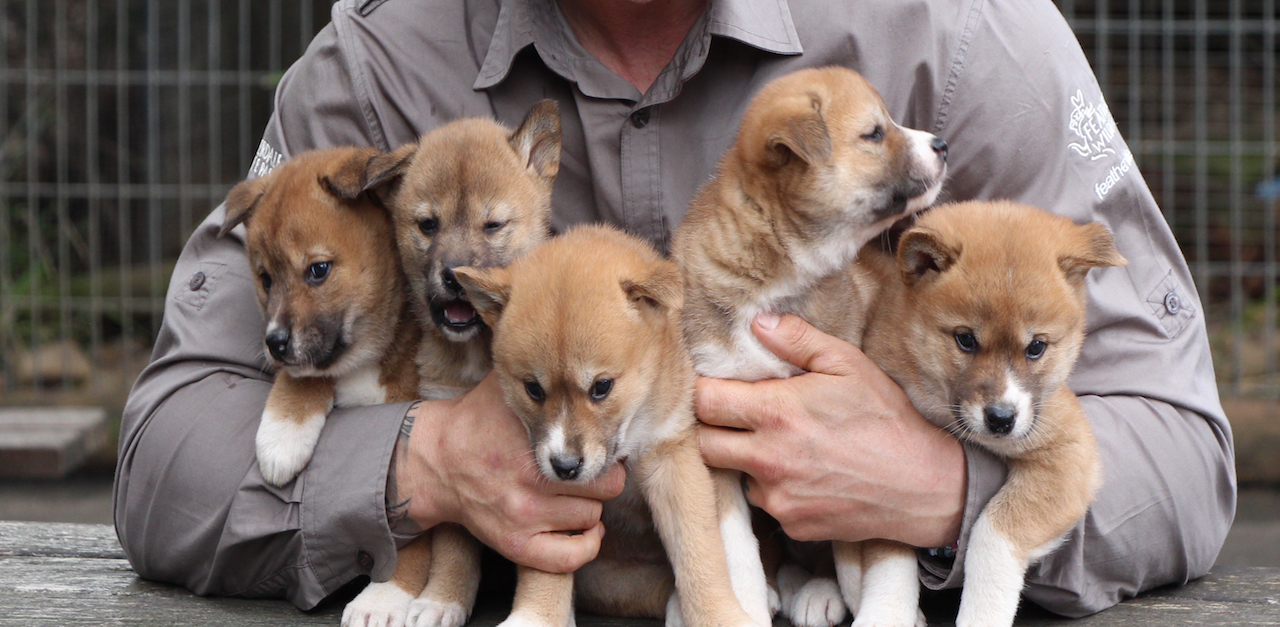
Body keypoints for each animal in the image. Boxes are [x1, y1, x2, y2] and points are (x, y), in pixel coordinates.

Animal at [340, 101, 560, 627]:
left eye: (493, 225)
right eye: (428, 225)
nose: (455, 278)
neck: (476, 355)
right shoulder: (457, 452)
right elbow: (454, 545)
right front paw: (442, 601)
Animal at [453, 223, 757, 627]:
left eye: (602, 387)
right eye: (533, 389)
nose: (565, 467)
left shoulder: (672, 457)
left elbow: (699, 550)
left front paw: (718, 615)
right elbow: (548, 565)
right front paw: (537, 616)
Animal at [865, 202, 1126, 627]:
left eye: (1036, 347)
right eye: (965, 339)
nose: (1001, 420)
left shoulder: (1068, 453)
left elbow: (991, 534)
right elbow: (886, 558)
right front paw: (882, 615)